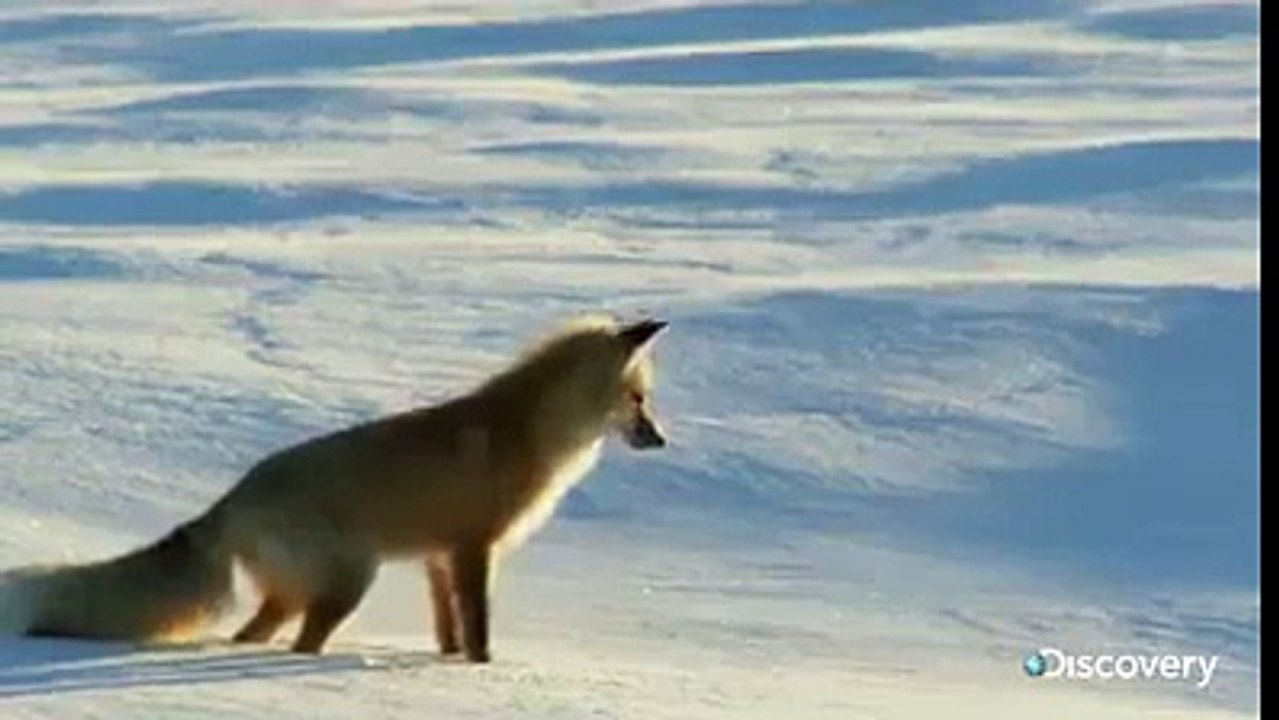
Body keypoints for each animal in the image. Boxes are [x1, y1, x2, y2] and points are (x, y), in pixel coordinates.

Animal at [0, 316, 669, 661]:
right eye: (639, 400)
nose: (661, 439)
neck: (527, 433)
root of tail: (232, 498)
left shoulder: (436, 557)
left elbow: (448, 630)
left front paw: (448, 668)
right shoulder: (471, 547)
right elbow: (477, 626)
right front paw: (481, 674)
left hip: (297, 593)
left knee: (255, 635)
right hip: (348, 582)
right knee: (299, 644)